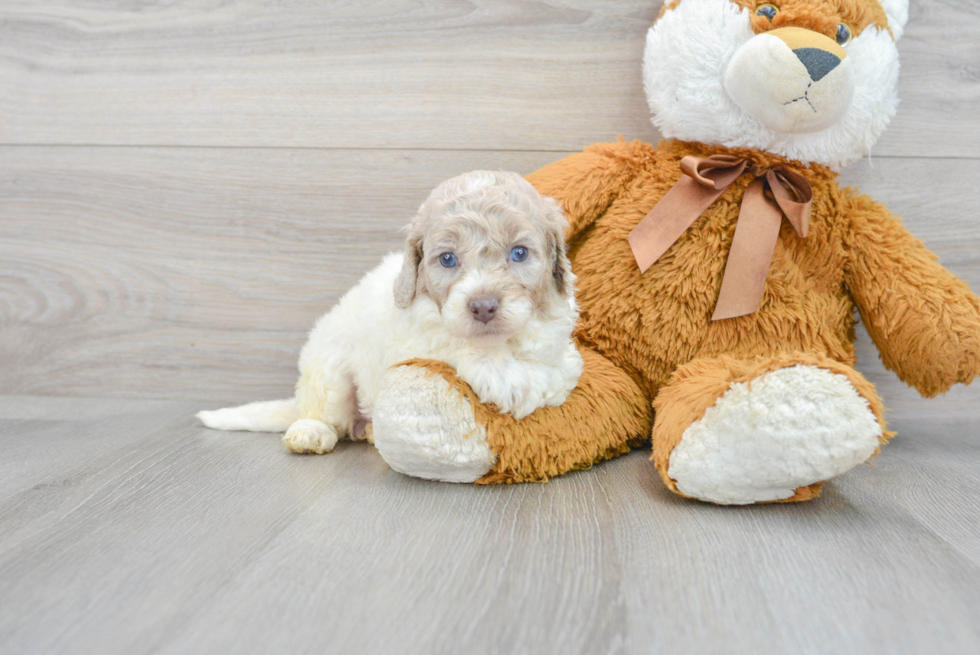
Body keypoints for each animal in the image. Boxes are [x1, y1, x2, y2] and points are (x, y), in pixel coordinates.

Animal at [198, 172, 580, 454]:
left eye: (519, 253)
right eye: (447, 259)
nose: (483, 306)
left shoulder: (560, 344)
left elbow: (560, 371)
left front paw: (535, 380)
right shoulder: (414, 333)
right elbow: (451, 340)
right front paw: (502, 375)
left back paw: (369, 431)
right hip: (329, 368)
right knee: (324, 413)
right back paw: (311, 432)